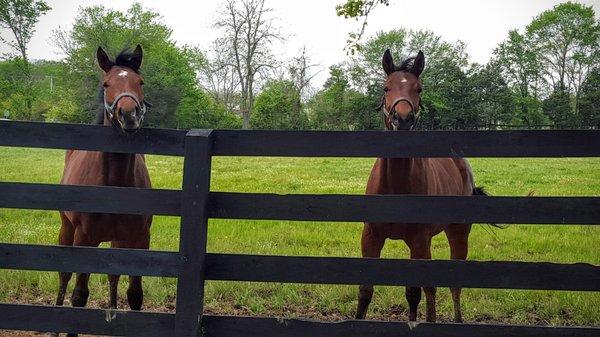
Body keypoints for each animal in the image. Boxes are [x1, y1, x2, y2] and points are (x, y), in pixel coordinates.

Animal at [53, 45, 151, 336]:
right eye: (106, 84)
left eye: (140, 82)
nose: (129, 115)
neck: (114, 185)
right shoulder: (84, 239)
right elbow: (79, 296)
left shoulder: (139, 239)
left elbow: (135, 296)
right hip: (67, 229)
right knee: (64, 276)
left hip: (117, 241)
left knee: (113, 275)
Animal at [354, 48, 486, 322]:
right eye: (386, 88)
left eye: (419, 89)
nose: (402, 118)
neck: (395, 187)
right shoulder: (371, 237)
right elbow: (366, 291)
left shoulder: (417, 240)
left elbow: (414, 293)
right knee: (432, 288)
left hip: (457, 233)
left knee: (453, 284)